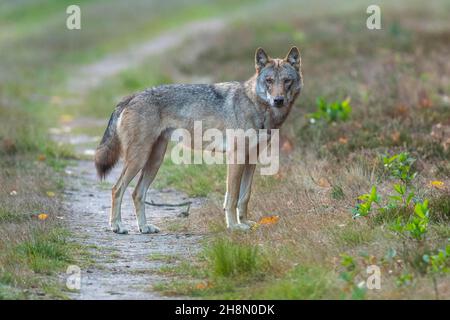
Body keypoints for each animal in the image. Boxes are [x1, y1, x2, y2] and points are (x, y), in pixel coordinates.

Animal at [94, 46, 302, 234]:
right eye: (269, 81)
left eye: (287, 81)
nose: (278, 100)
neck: (257, 106)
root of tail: (132, 96)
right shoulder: (236, 158)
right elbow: (232, 197)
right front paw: (234, 226)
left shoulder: (251, 160)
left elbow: (244, 196)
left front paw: (245, 223)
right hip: (139, 159)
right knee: (116, 189)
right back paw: (117, 226)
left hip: (154, 160)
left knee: (137, 193)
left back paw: (144, 227)